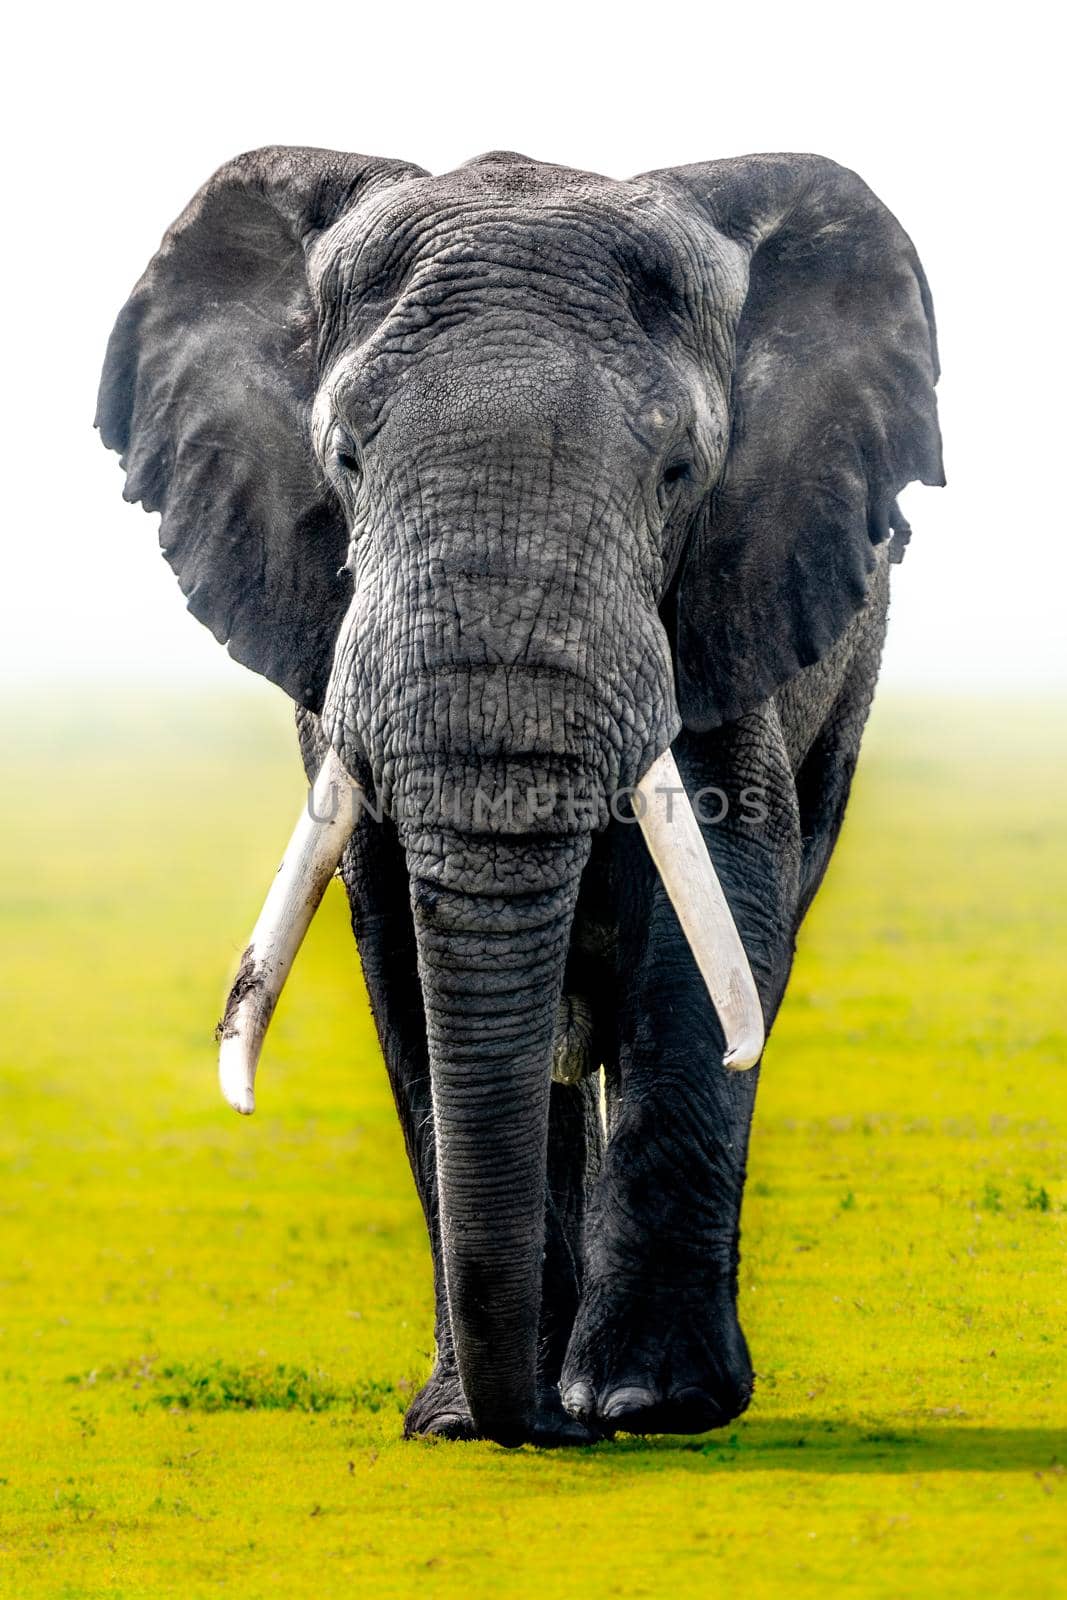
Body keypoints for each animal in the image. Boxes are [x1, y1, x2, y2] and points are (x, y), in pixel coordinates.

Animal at [95, 150, 940, 1452]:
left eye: (676, 475)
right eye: (344, 462)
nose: (542, 1426)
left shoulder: (728, 594)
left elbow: (713, 910)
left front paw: (653, 1406)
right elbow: (398, 943)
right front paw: (461, 1420)